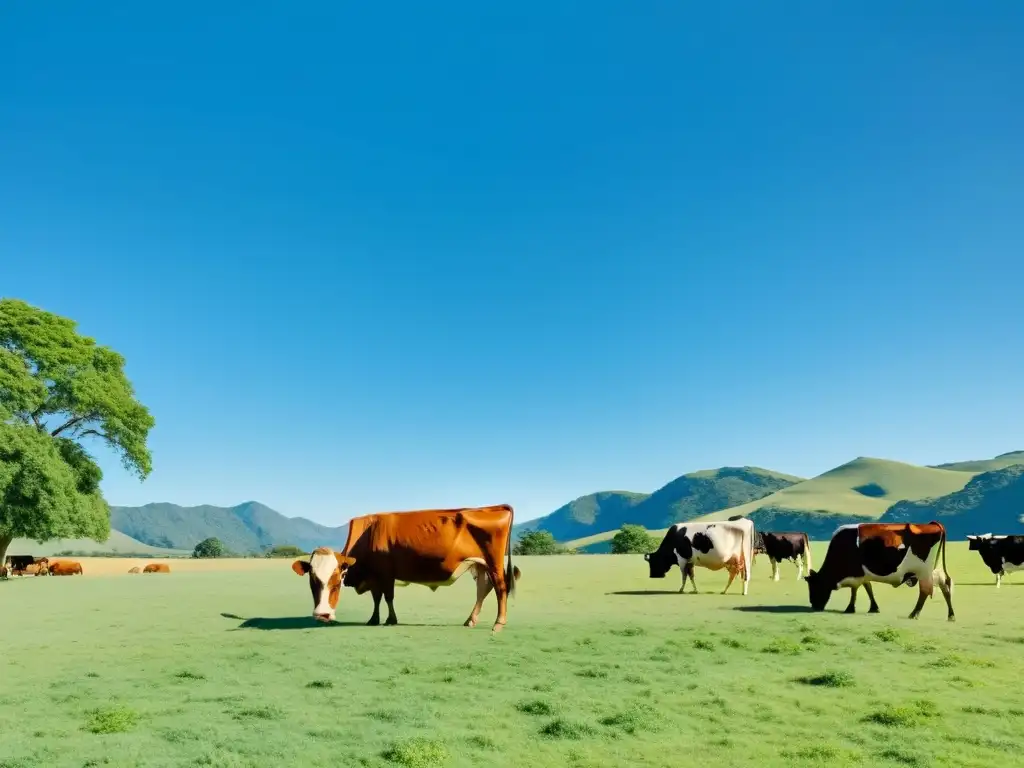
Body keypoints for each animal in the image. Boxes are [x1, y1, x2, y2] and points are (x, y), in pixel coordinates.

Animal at [294, 501, 520, 634]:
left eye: (336, 581)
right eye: (313, 582)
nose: (322, 615)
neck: (368, 534)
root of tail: (495, 506)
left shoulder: (385, 573)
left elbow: (388, 597)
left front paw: (390, 619)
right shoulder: (375, 576)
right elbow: (377, 598)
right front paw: (373, 619)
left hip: (493, 563)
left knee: (500, 588)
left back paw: (498, 623)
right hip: (479, 565)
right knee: (483, 589)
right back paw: (471, 620)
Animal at [802, 520, 954, 622]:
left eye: (814, 586)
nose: (815, 605)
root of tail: (932, 524)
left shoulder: (856, 574)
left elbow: (854, 590)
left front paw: (850, 608)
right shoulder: (863, 574)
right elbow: (868, 588)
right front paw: (874, 608)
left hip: (924, 571)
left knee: (925, 591)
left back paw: (914, 613)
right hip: (936, 570)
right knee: (946, 587)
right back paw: (951, 615)